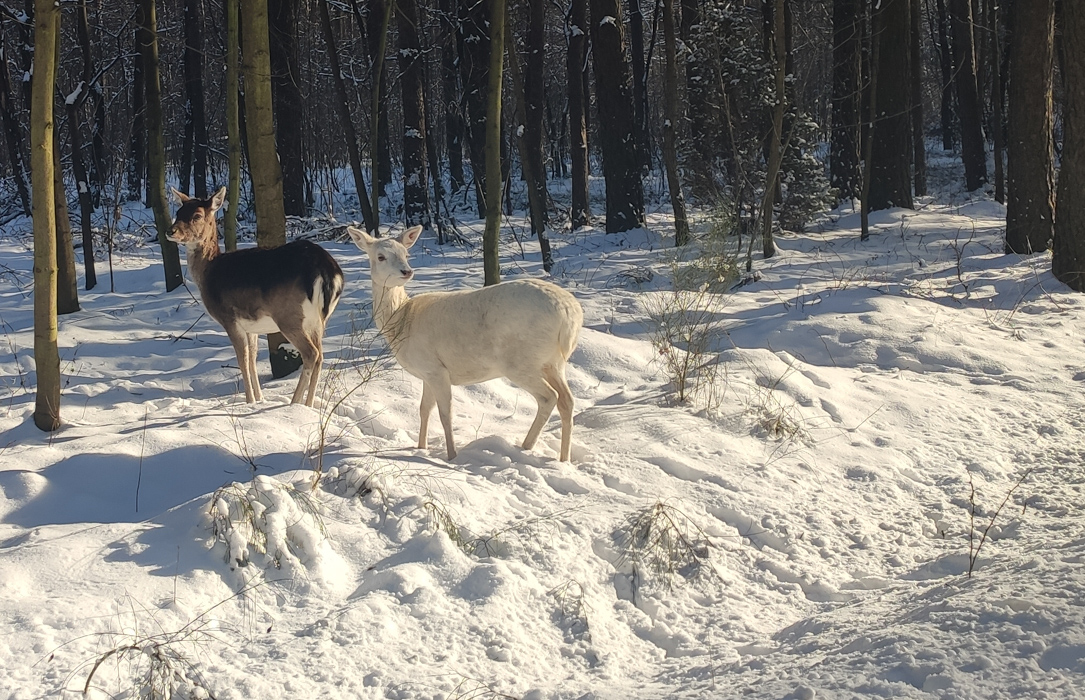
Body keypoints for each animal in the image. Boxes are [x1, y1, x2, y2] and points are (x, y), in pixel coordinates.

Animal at [168, 186, 342, 403]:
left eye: (197, 215)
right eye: (178, 212)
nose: (170, 231)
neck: (209, 271)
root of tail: (327, 269)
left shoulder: (229, 318)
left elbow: (242, 359)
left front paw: (249, 401)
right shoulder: (251, 326)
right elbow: (252, 358)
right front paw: (259, 399)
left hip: (289, 316)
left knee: (311, 353)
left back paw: (294, 402)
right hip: (317, 320)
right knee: (320, 355)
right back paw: (308, 405)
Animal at [347, 226, 585, 462]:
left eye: (405, 254)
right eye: (381, 256)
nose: (406, 271)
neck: (402, 319)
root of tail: (570, 314)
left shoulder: (436, 369)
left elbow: (445, 414)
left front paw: (452, 456)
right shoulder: (426, 373)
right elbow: (424, 409)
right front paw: (421, 447)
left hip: (520, 361)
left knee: (549, 397)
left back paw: (525, 447)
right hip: (553, 362)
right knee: (567, 400)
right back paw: (563, 459)